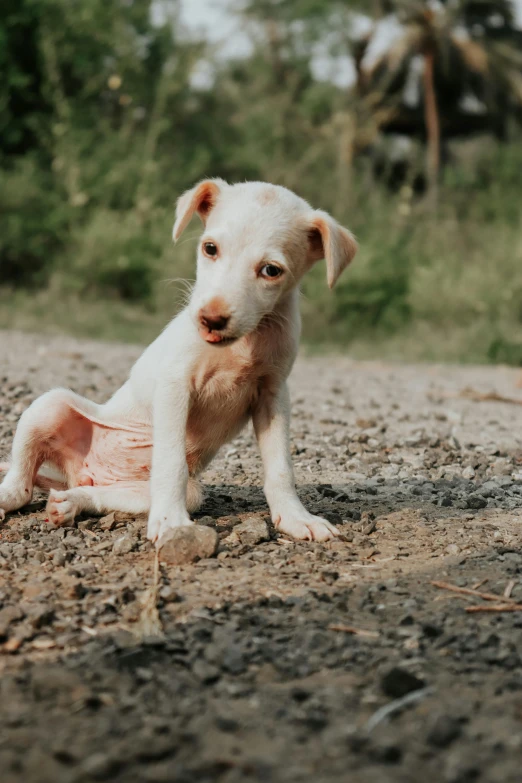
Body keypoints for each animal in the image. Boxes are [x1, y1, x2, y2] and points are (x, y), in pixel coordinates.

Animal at [0, 179, 356, 544]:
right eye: (210, 248)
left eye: (271, 270)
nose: (210, 319)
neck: (244, 344)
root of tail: (85, 473)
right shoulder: (176, 385)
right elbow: (171, 462)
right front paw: (172, 522)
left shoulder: (273, 394)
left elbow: (281, 466)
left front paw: (296, 517)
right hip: (50, 404)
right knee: (21, 484)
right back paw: (8, 495)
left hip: (182, 493)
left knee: (99, 494)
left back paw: (71, 502)